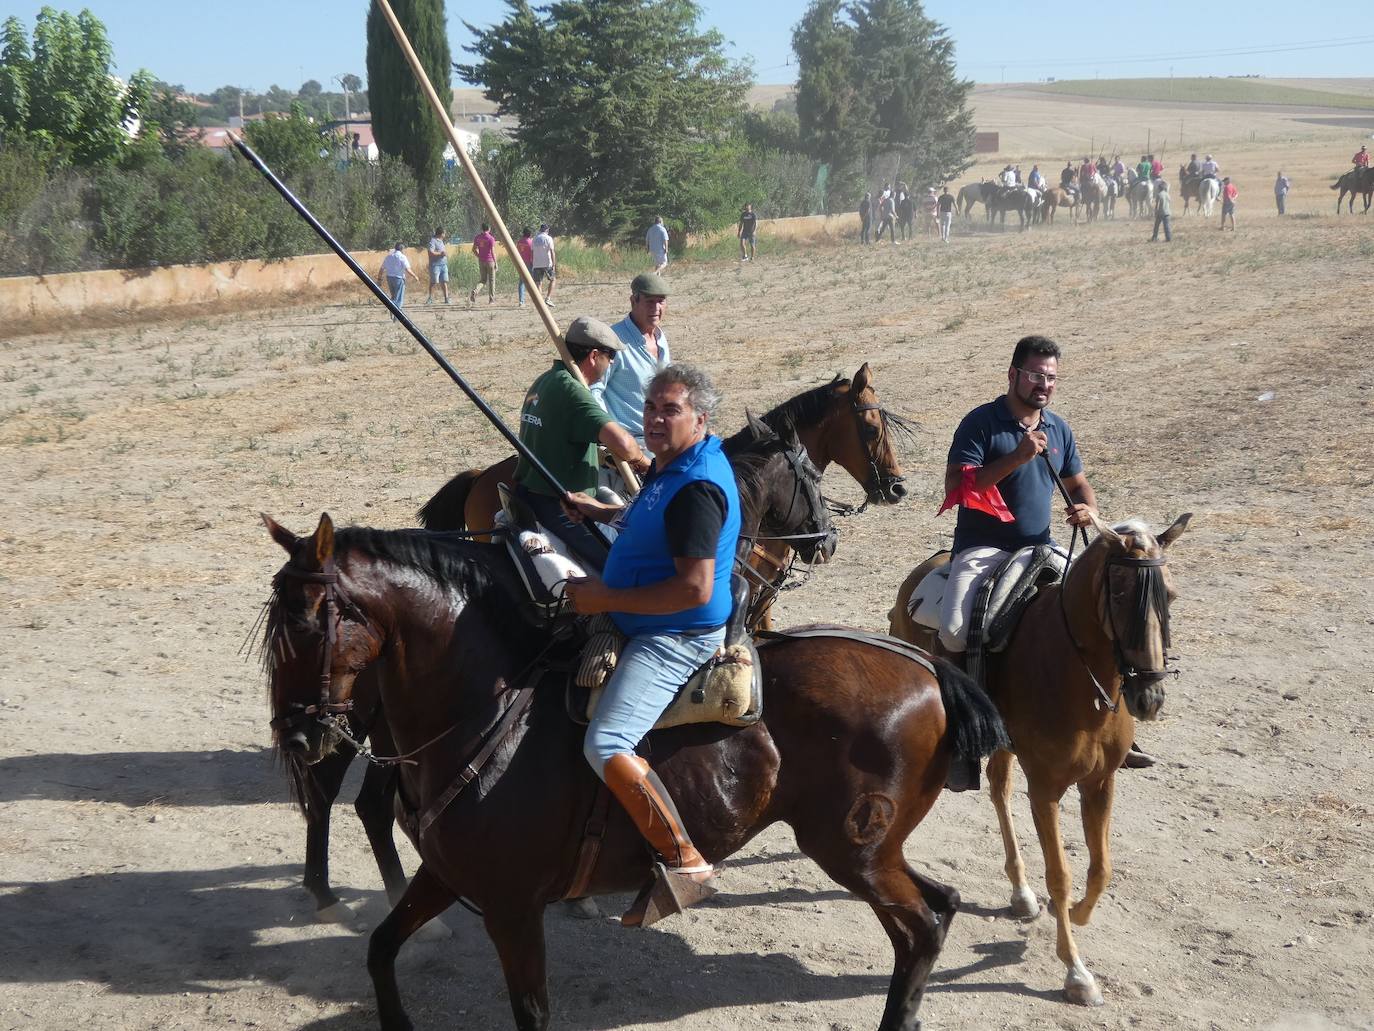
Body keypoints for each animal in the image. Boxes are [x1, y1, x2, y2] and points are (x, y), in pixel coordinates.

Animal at [259, 514, 1011, 1031]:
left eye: (308, 623)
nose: (295, 734)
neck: (487, 709)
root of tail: (928, 669)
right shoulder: (447, 875)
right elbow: (381, 947)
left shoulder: (510, 906)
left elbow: (531, 1010)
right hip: (871, 853)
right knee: (937, 910)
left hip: (853, 850)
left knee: (922, 925)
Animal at [890, 514, 1192, 1011]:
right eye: (1121, 594)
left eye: (1169, 594)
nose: (1149, 696)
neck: (1080, 679)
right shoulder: (1047, 788)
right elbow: (1061, 875)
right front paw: (1076, 972)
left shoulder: (1100, 783)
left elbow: (1101, 869)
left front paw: (1075, 914)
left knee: (998, 791)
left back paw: (1020, 892)